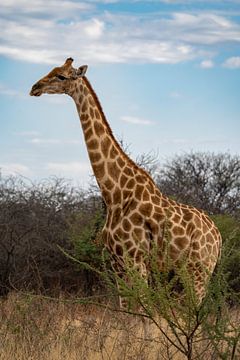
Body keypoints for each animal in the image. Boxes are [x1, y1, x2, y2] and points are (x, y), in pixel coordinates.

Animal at [30, 57, 223, 306]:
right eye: (51, 69)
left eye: (61, 76)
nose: (35, 88)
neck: (115, 193)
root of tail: (218, 237)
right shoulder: (117, 261)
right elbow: (127, 309)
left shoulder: (136, 258)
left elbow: (142, 310)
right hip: (189, 270)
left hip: (199, 270)